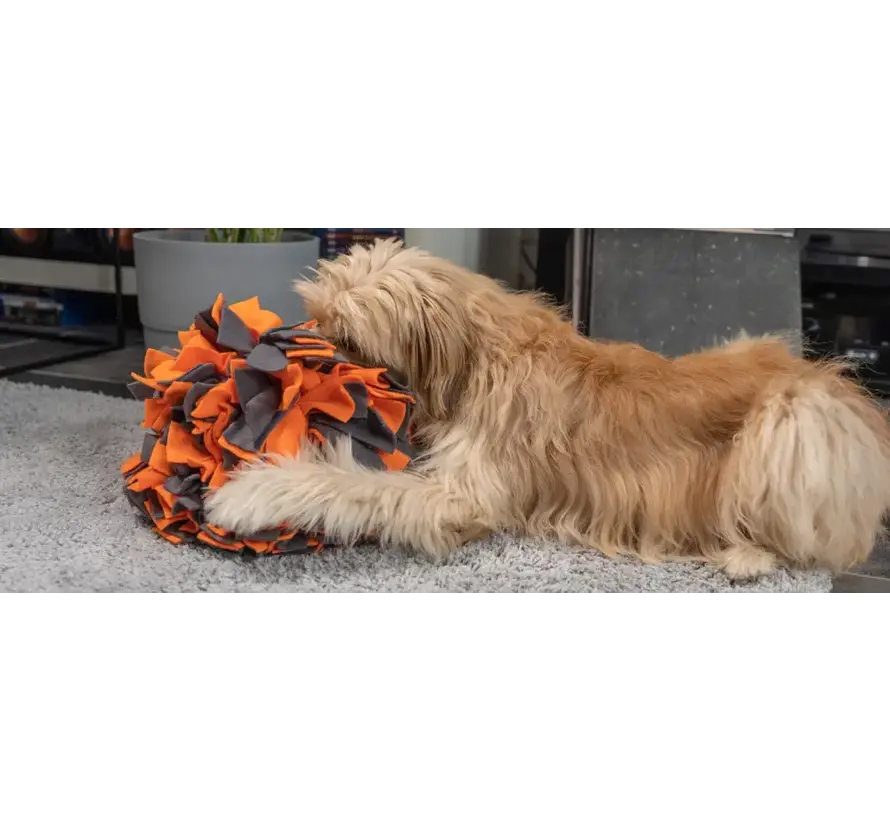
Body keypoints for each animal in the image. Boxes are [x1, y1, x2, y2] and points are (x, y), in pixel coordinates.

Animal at [205, 237, 888, 580]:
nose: (277, 346)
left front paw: (253, 492)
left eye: (345, 338)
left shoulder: (461, 495)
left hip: (796, 421)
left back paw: (747, 555)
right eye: (314, 314)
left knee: (811, 542)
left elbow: (350, 484)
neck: (478, 356)